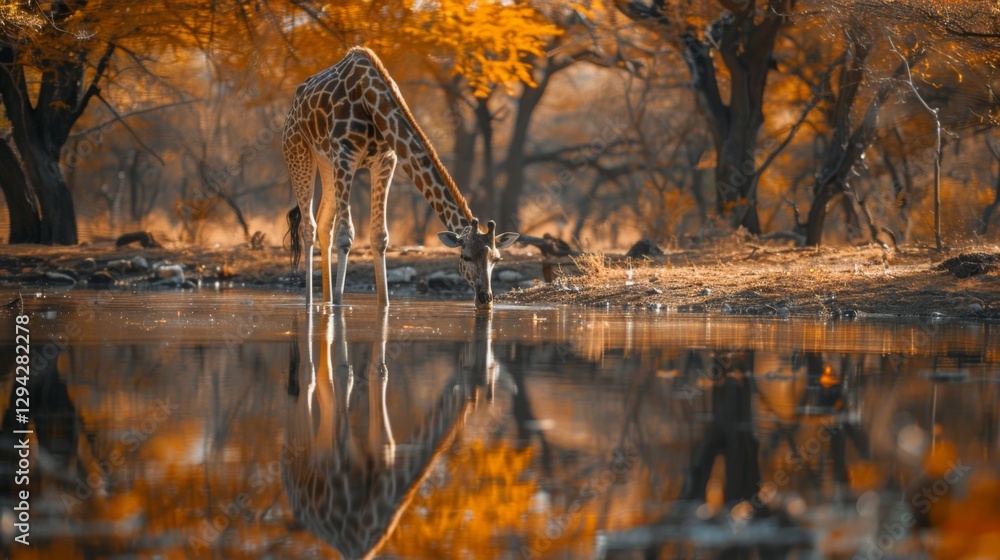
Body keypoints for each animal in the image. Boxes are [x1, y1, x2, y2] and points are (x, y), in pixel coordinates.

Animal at [282, 307, 496, 559]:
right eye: (481, 367)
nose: (486, 306)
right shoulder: (340, 456)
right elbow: (349, 374)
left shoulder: (381, 444)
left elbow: (376, 372)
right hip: (300, 444)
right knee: (304, 381)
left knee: (323, 387)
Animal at [283, 47, 519, 309]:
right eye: (464, 256)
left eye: (497, 258)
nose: (485, 298)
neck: (370, 98)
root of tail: (294, 104)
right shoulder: (345, 155)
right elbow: (346, 236)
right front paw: (339, 306)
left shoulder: (385, 160)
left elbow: (379, 236)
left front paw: (383, 305)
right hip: (298, 151)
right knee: (309, 226)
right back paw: (311, 304)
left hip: (326, 162)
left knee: (324, 223)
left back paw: (325, 301)